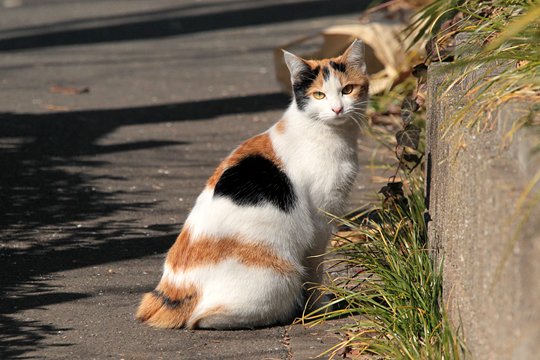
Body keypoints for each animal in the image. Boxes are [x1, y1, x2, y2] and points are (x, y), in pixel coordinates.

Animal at [137, 38, 370, 330]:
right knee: (200, 318)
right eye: (319, 95)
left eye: (347, 90)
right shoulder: (320, 224)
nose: (337, 109)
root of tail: (172, 291)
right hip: (280, 277)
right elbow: (315, 271)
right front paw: (319, 307)